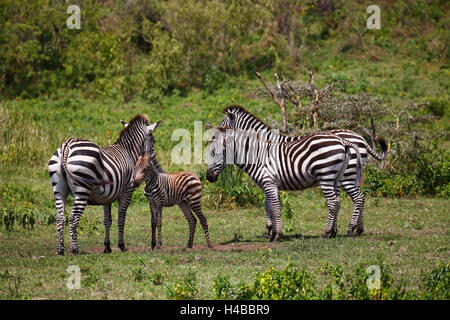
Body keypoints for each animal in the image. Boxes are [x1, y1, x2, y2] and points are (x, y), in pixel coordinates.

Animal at [48, 115, 161, 255]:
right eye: (154, 141)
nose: (154, 159)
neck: (129, 152)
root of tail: (67, 146)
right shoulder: (127, 191)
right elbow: (121, 218)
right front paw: (121, 246)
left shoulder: (107, 196)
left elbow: (107, 220)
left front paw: (107, 247)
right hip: (82, 190)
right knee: (73, 218)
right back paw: (75, 250)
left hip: (58, 189)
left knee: (59, 217)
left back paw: (60, 250)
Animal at [206, 126, 364, 241]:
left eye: (215, 153)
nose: (208, 177)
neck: (256, 156)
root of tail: (342, 141)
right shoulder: (271, 185)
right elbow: (270, 207)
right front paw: (272, 233)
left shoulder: (269, 183)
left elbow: (275, 208)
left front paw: (277, 235)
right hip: (337, 177)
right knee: (340, 200)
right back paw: (334, 232)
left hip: (326, 175)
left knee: (334, 201)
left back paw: (328, 232)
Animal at [219, 106, 386, 236]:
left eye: (222, 126)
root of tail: (361, 138)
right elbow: (270, 204)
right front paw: (271, 229)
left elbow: (268, 204)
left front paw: (269, 230)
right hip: (346, 175)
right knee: (358, 197)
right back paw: (356, 229)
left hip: (346, 175)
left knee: (357, 198)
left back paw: (351, 229)